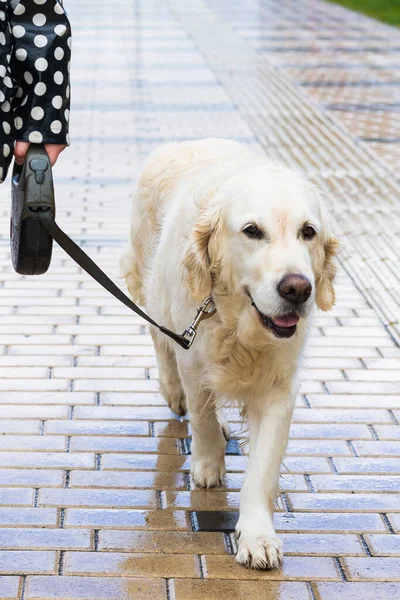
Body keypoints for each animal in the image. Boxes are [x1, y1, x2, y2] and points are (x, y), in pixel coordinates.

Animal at [119, 138, 338, 568]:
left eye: (308, 232)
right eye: (252, 231)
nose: (298, 289)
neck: (239, 328)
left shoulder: (280, 386)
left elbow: (263, 469)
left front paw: (256, 536)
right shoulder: (193, 358)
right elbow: (202, 416)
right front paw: (208, 464)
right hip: (149, 285)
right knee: (159, 339)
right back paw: (173, 392)